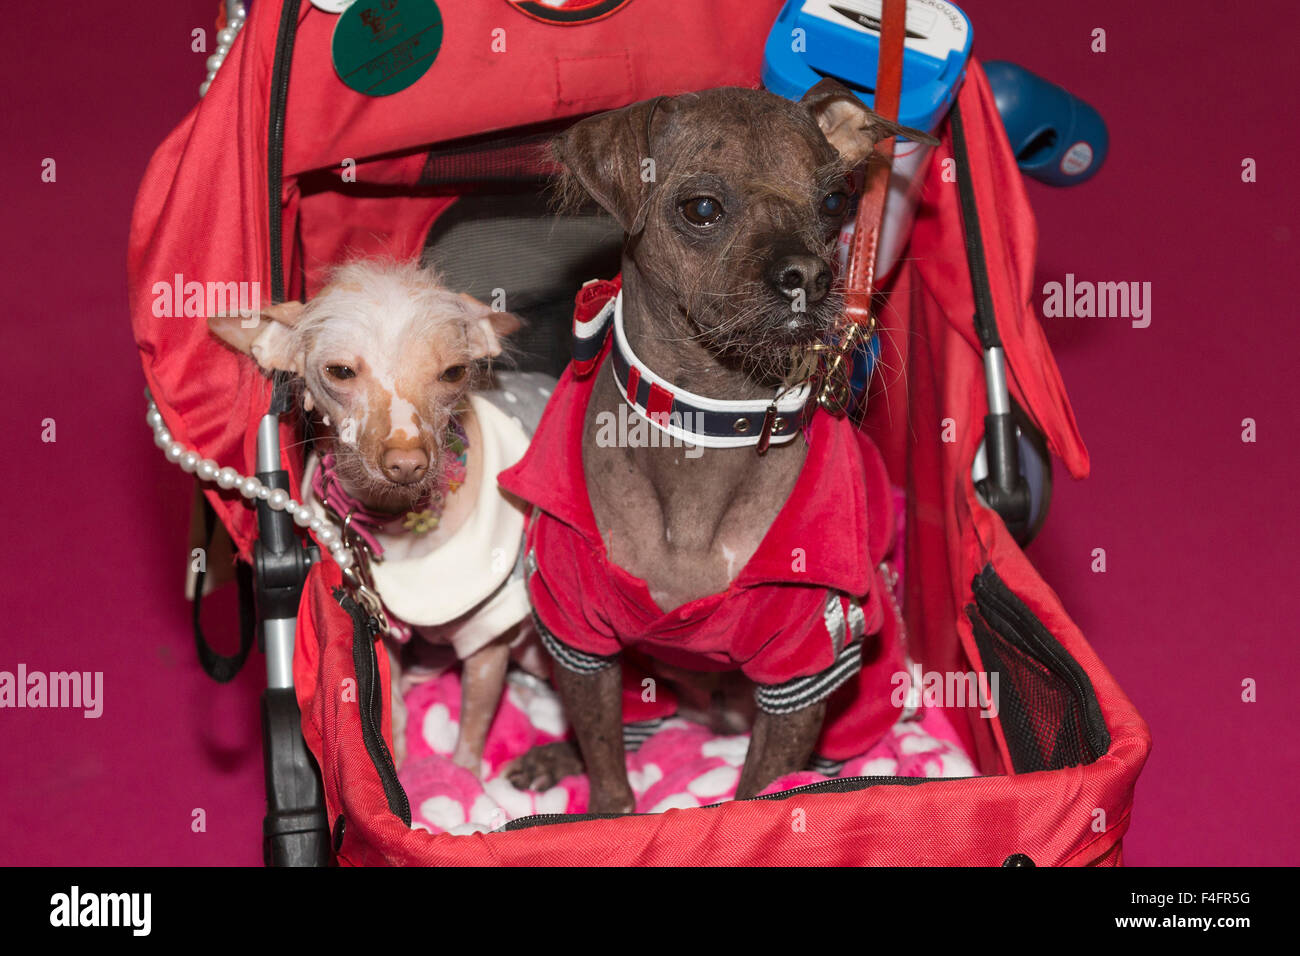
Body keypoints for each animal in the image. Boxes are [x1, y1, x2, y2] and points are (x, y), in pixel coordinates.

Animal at [504, 83, 935, 816]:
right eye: (702, 208)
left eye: (833, 201)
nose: (811, 276)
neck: (707, 423)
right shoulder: (577, 635)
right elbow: (607, 768)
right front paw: (604, 816)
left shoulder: (805, 671)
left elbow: (764, 787)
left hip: (866, 691)